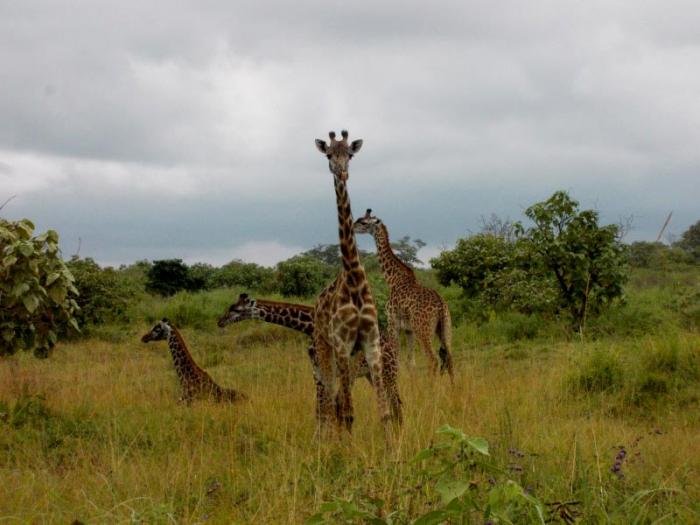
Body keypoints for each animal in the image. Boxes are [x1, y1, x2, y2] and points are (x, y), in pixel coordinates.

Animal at [219, 292, 404, 424]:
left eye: (236, 309)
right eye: (231, 306)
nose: (220, 321)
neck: (310, 326)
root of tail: (393, 345)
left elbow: (336, 407)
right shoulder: (317, 373)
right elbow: (322, 410)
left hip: (388, 372)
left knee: (396, 402)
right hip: (369, 375)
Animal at [314, 129, 392, 436]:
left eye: (350, 153)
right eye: (328, 154)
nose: (341, 172)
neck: (355, 278)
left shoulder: (370, 343)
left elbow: (384, 412)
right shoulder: (343, 345)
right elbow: (348, 412)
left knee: (334, 400)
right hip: (325, 347)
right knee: (329, 401)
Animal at [352, 210, 456, 380]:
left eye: (364, 222)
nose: (353, 227)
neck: (393, 279)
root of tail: (441, 305)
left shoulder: (392, 321)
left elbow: (397, 357)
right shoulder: (408, 330)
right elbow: (410, 363)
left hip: (423, 329)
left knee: (433, 359)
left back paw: (431, 385)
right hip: (445, 328)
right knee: (449, 357)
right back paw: (453, 387)